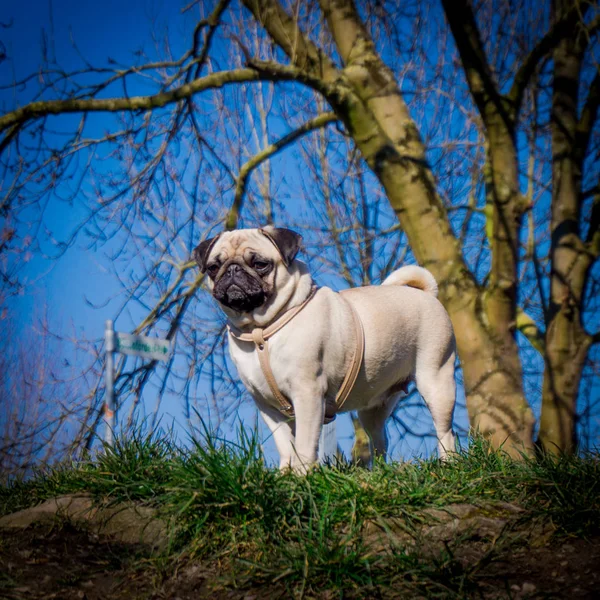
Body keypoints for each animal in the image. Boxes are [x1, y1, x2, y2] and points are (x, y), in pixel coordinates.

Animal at [193, 227, 454, 472]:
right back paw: (378, 471)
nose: (232, 270)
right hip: (374, 408)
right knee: (380, 440)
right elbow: (285, 445)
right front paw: (285, 475)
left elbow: (304, 444)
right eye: (213, 267)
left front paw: (302, 476)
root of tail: (425, 294)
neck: (261, 331)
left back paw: (448, 464)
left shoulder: (307, 394)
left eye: (260, 264)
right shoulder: (268, 407)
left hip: (436, 382)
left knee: (445, 432)